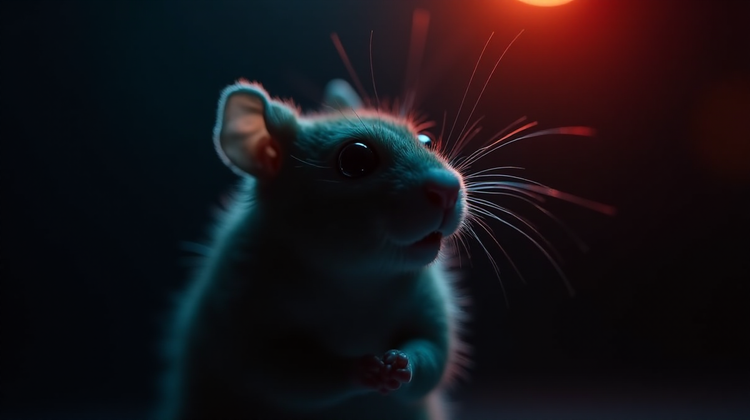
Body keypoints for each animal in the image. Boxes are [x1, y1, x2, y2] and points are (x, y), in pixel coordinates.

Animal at [157, 78, 472, 420]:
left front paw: (403, 364)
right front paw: (359, 370)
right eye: (355, 160)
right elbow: (286, 374)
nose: (448, 191)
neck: (357, 277)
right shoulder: (244, 300)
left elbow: (434, 352)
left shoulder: (428, 297)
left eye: (426, 140)